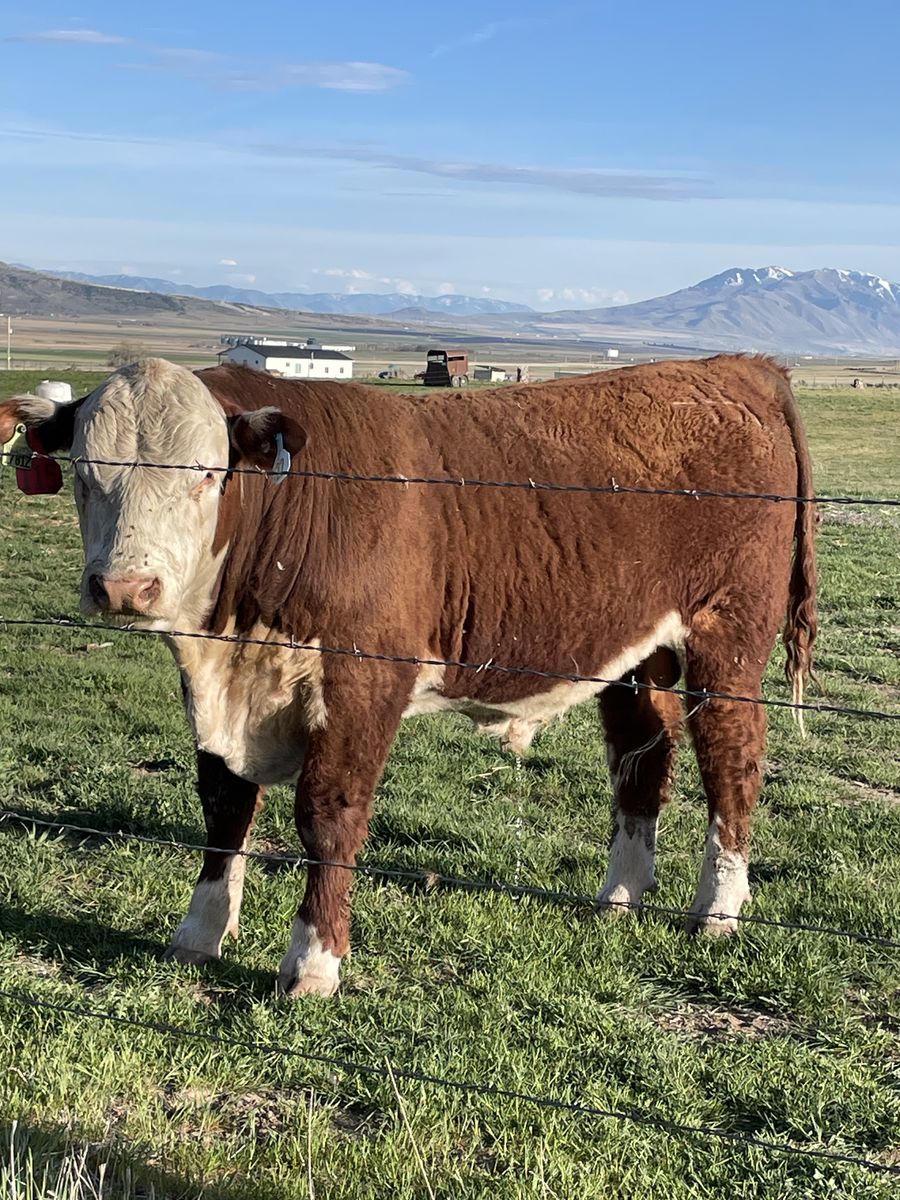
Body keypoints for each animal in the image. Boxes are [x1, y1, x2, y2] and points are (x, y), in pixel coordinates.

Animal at [0, 354, 817, 997]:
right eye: (84, 473)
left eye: (205, 474)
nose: (124, 589)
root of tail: (735, 367)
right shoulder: (218, 689)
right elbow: (224, 803)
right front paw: (198, 933)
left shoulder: (364, 681)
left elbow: (328, 815)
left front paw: (314, 963)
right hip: (635, 655)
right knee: (643, 755)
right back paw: (619, 896)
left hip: (728, 639)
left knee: (732, 758)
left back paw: (717, 910)